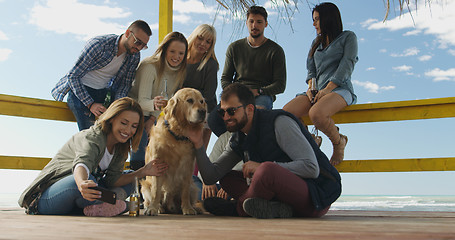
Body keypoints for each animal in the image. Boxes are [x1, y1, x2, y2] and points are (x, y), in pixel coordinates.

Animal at [142, 87, 208, 216]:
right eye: (190, 100)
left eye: (202, 101)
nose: (203, 112)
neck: (178, 135)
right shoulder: (158, 164)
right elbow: (156, 191)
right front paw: (153, 208)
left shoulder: (188, 167)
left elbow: (185, 192)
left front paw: (187, 208)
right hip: (145, 186)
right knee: (148, 200)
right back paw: (158, 207)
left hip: (193, 187)